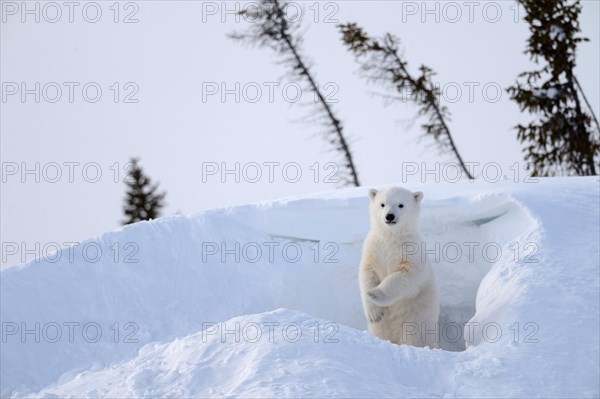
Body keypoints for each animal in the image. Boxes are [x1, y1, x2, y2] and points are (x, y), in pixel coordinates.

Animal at [358, 188, 438, 346]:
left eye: (401, 205)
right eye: (382, 204)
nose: (390, 216)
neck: (391, 237)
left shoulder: (411, 251)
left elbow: (407, 276)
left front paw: (374, 294)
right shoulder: (373, 249)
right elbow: (367, 273)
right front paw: (374, 312)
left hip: (417, 314)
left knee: (414, 335)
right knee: (381, 331)